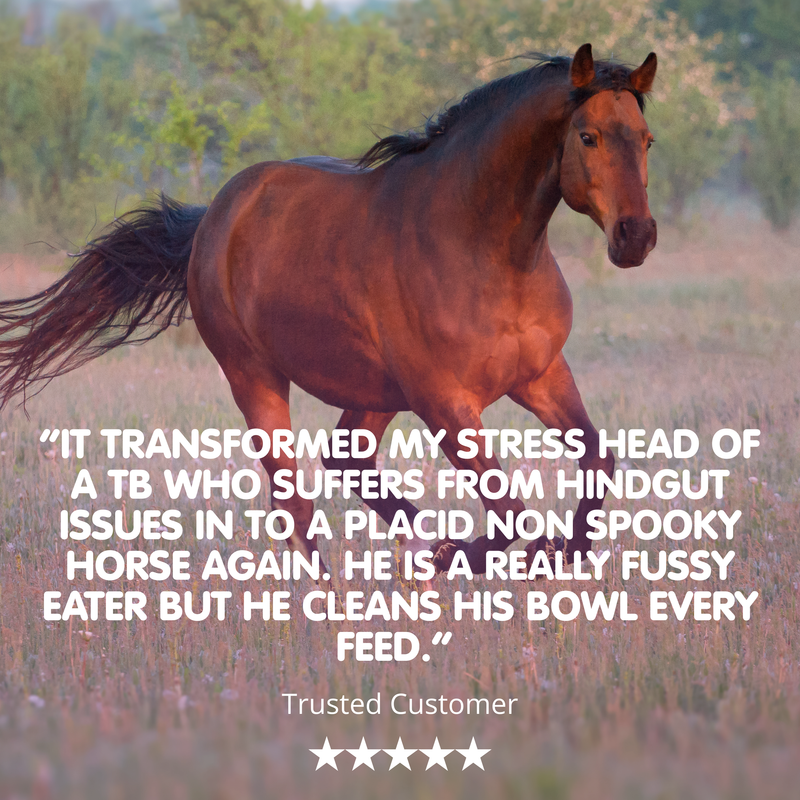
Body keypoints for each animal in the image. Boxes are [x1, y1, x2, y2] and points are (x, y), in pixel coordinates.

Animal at [0, 44, 658, 581]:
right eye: (589, 137)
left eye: (647, 140)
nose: (637, 237)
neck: (484, 249)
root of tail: (215, 215)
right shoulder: (445, 402)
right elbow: (509, 512)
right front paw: (480, 553)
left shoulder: (541, 375)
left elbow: (597, 460)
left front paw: (563, 549)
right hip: (257, 379)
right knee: (295, 503)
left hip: (376, 391)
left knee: (347, 460)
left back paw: (421, 550)